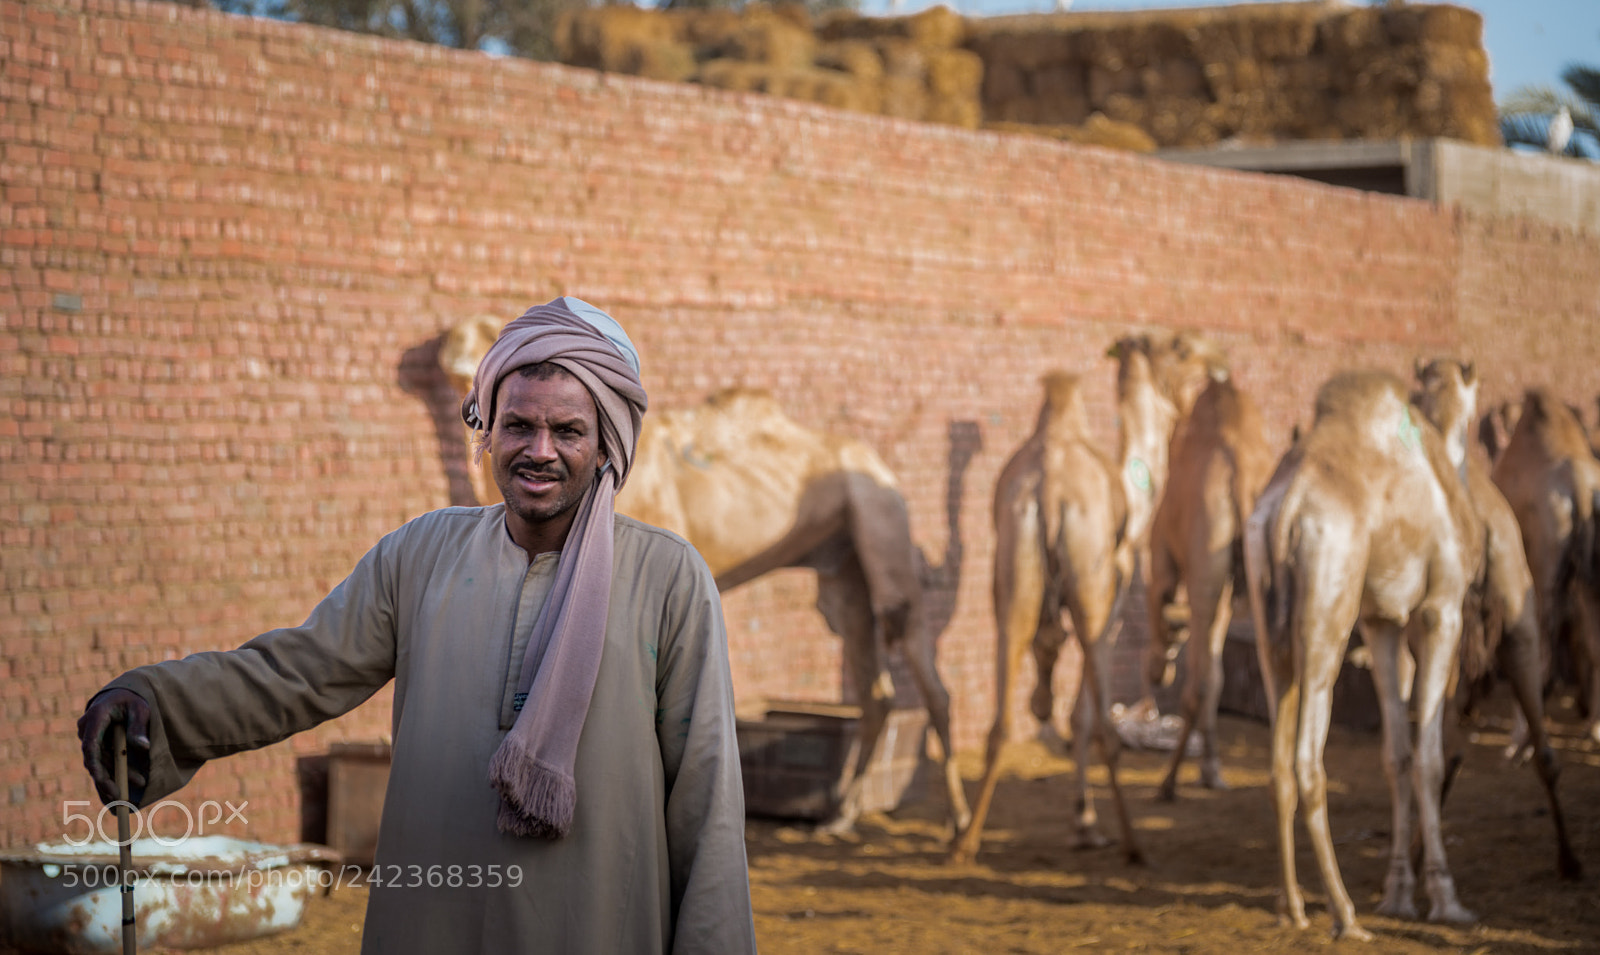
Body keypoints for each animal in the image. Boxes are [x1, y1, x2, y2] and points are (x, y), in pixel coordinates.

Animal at [1140, 374, 1274, 799]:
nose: (1157, 674)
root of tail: (1242, 474)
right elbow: (1219, 676)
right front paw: (1210, 770)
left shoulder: (1162, 555)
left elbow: (1160, 599)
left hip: (1204, 560)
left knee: (1197, 684)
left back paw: (1167, 783)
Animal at [1243, 369, 1482, 941]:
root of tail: (1286, 507)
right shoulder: (1442, 609)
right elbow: (1429, 758)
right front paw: (1446, 899)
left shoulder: (1381, 623)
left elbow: (1396, 755)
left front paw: (1399, 895)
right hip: (1328, 607)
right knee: (1308, 760)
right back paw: (1345, 913)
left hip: (1271, 628)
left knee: (1279, 764)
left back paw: (1292, 906)